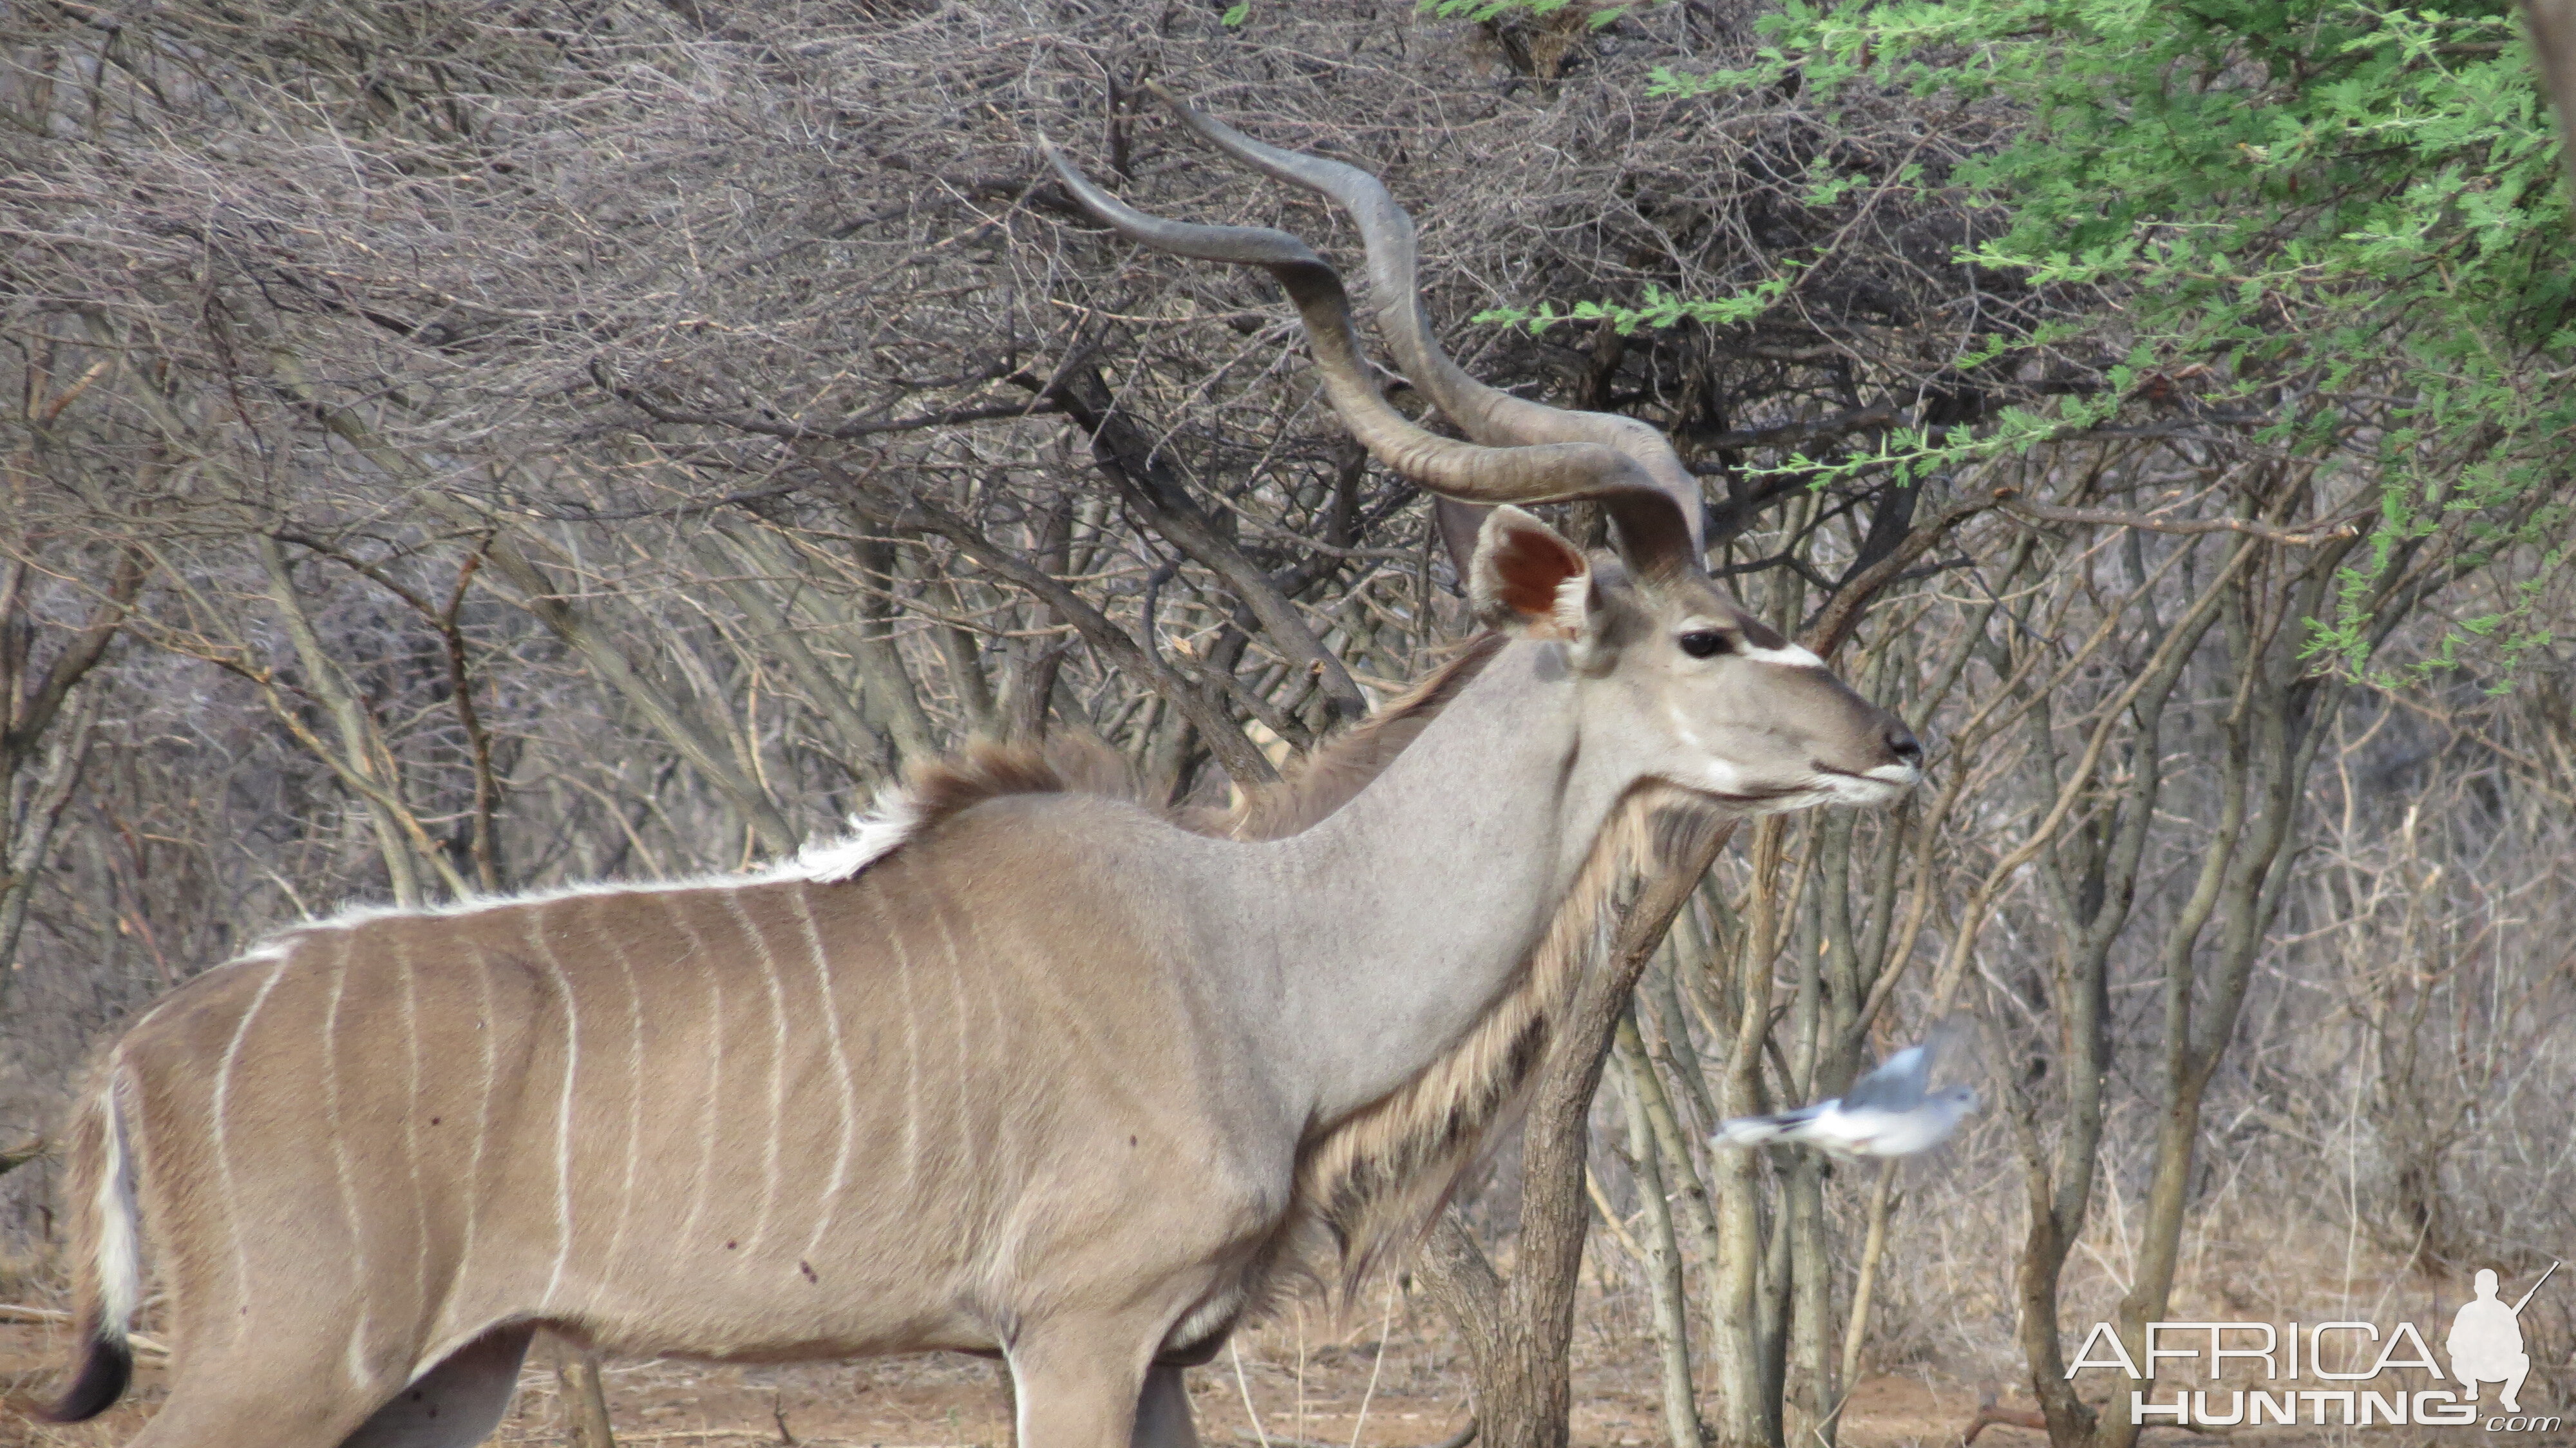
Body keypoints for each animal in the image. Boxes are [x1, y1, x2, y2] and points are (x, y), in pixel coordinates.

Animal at [40, 102, 1927, 1443]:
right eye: (1709, 636)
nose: (1893, 748)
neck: (1254, 947)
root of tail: (134, 1055)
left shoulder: (1164, 1354)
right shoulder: (1075, 1333)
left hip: (455, 1370)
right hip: (287, 1365)